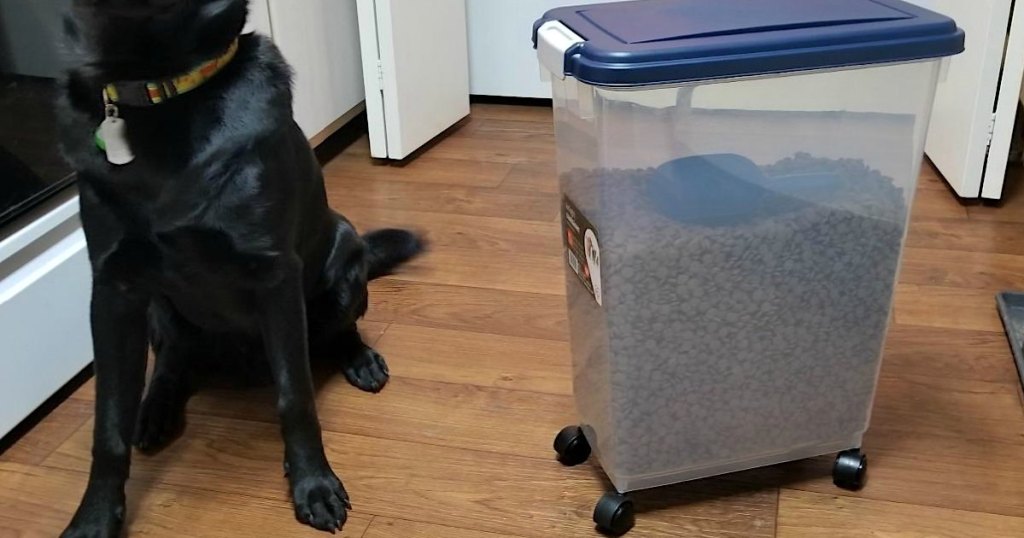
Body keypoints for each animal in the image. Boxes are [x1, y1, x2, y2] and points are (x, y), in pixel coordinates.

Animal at [58, 2, 423, 532]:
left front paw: (313, 484)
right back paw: (155, 409)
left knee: (338, 330)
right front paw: (93, 520)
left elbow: (295, 397)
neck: (159, 95)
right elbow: (107, 427)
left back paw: (360, 359)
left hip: (344, 256)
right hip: (160, 310)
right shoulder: (113, 291)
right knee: (172, 359)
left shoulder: (275, 278)